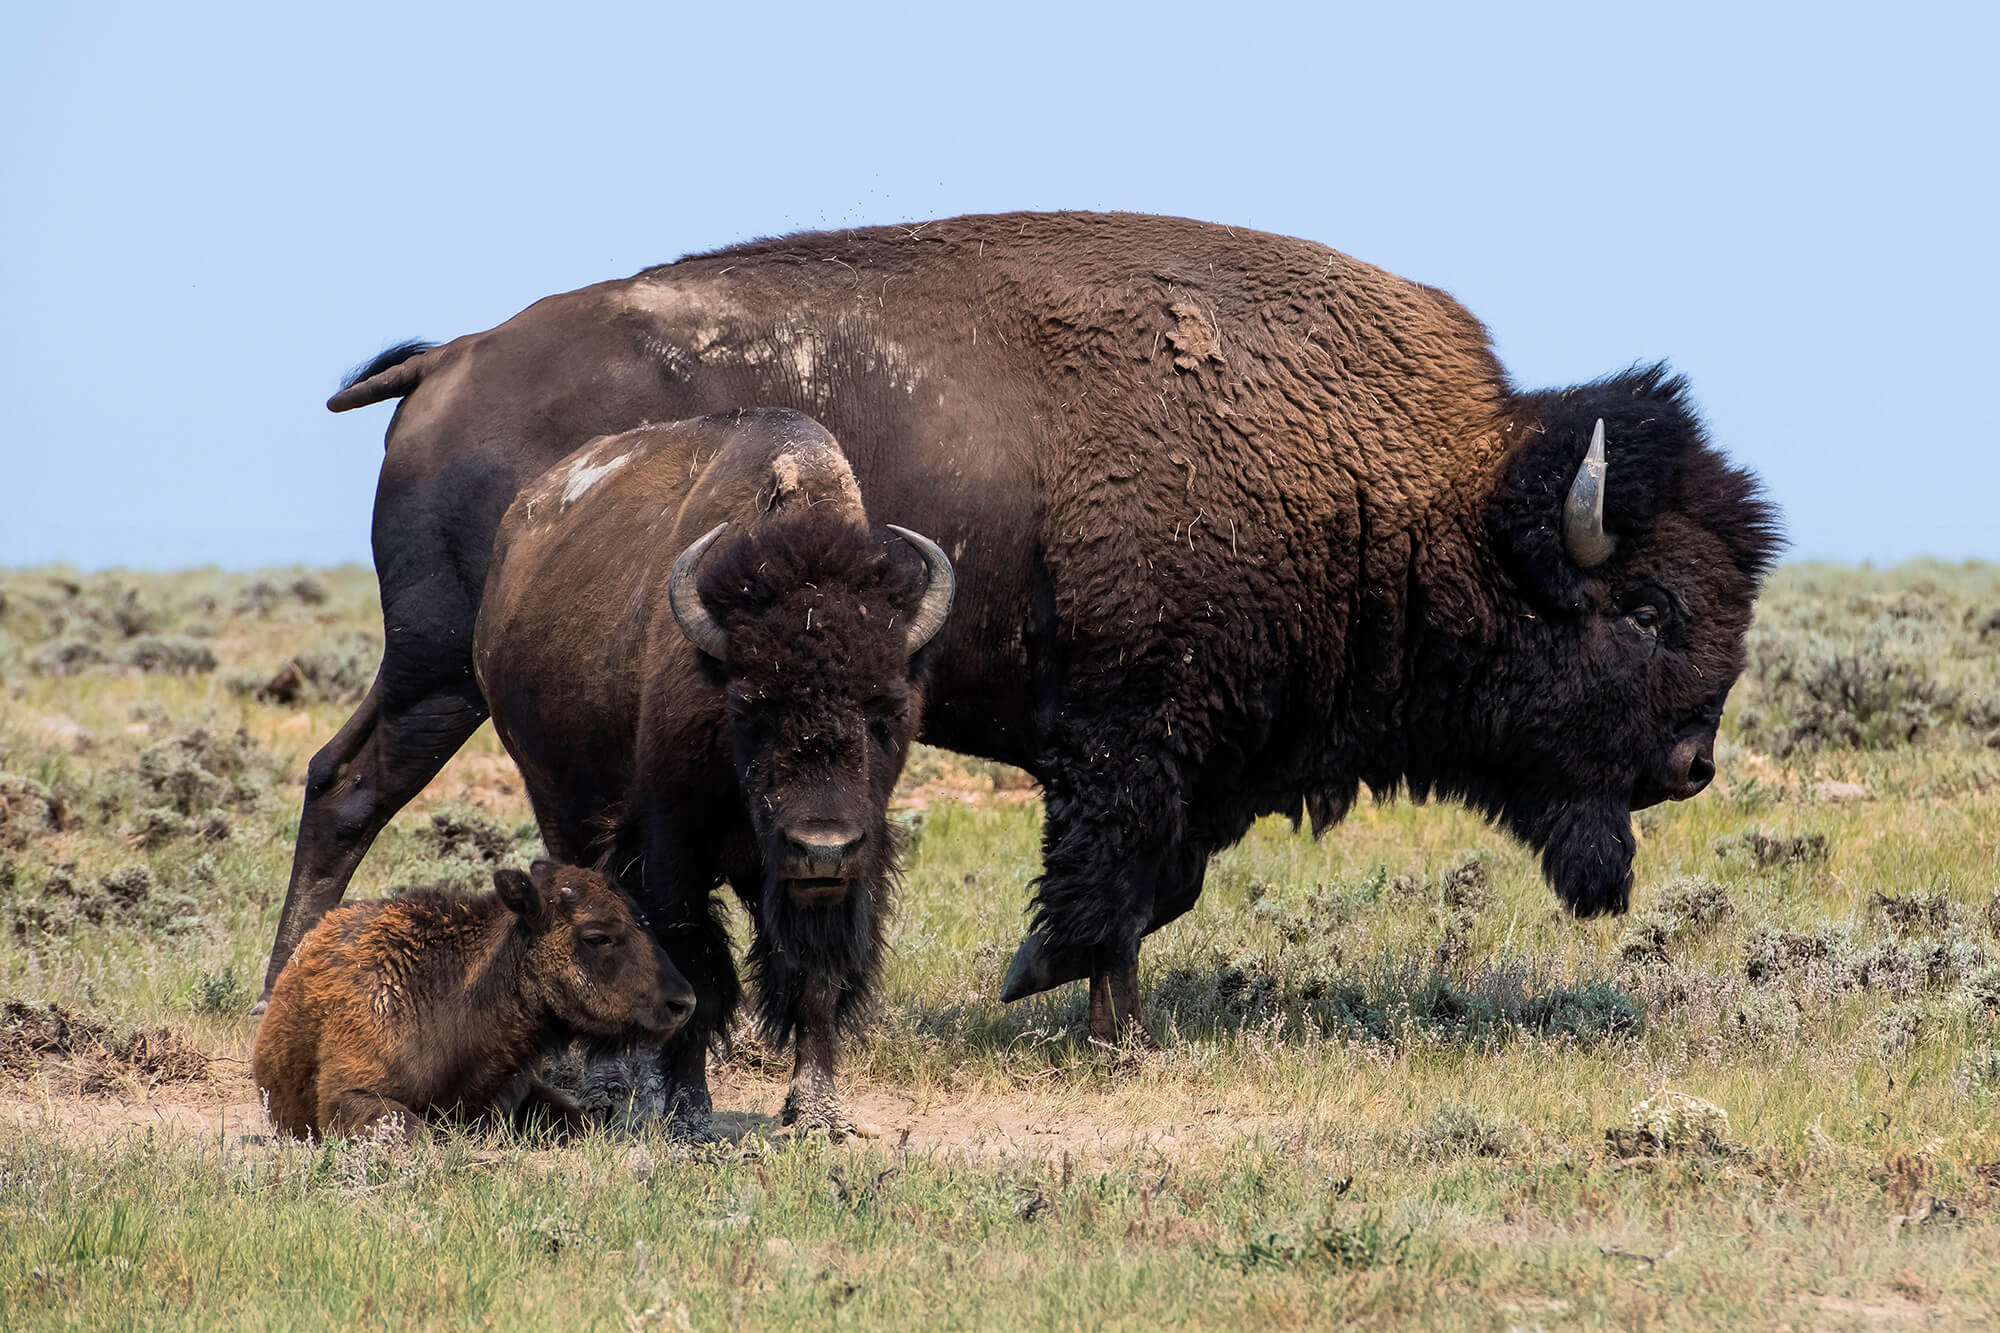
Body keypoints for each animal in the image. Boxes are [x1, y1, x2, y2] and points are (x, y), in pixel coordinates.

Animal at [473, 408, 953, 1136]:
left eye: (890, 707)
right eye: (750, 707)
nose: (822, 848)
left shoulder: (839, 878)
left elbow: (813, 981)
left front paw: (818, 1115)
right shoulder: (674, 850)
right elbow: (695, 973)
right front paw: (691, 1119)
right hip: (556, 801)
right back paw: (608, 1083)